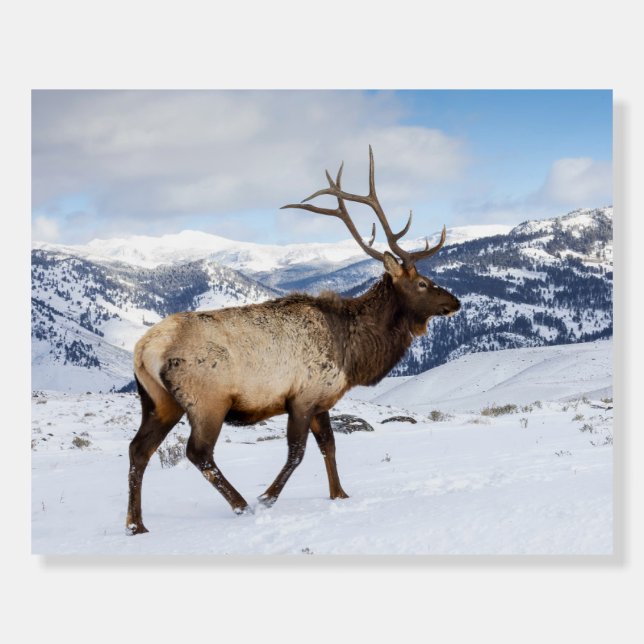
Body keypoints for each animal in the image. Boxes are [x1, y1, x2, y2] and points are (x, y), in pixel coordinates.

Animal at [126, 146, 460, 534]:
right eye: (422, 283)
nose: (455, 302)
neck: (353, 352)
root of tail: (144, 349)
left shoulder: (321, 399)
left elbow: (329, 445)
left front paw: (339, 494)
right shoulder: (301, 396)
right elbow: (298, 453)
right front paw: (267, 497)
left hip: (158, 401)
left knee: (139, 449)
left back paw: (136, 524)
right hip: (206, 400)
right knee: (197, 452)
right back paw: (241, 504)